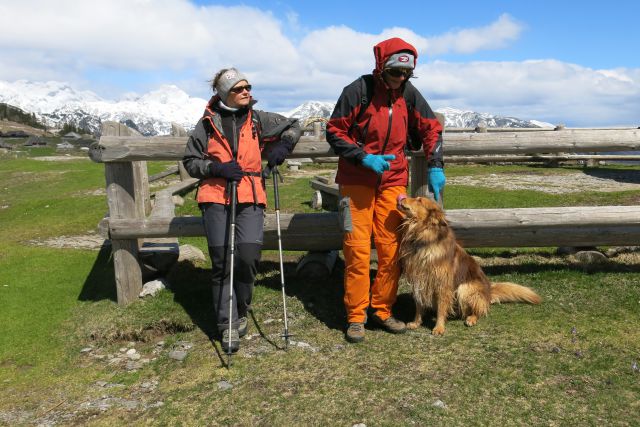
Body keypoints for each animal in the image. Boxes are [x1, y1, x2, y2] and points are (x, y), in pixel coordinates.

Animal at [396, 196, 540, 336]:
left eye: (419, 200)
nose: (401, 198)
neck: (423, 237)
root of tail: (489, 291)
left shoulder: (442, 283)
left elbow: (442, 307)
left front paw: (439, 327)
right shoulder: (419, 279)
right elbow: (419, 305)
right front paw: (416, 322)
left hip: (465, 289)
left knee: (479, 310)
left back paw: (471, 318)